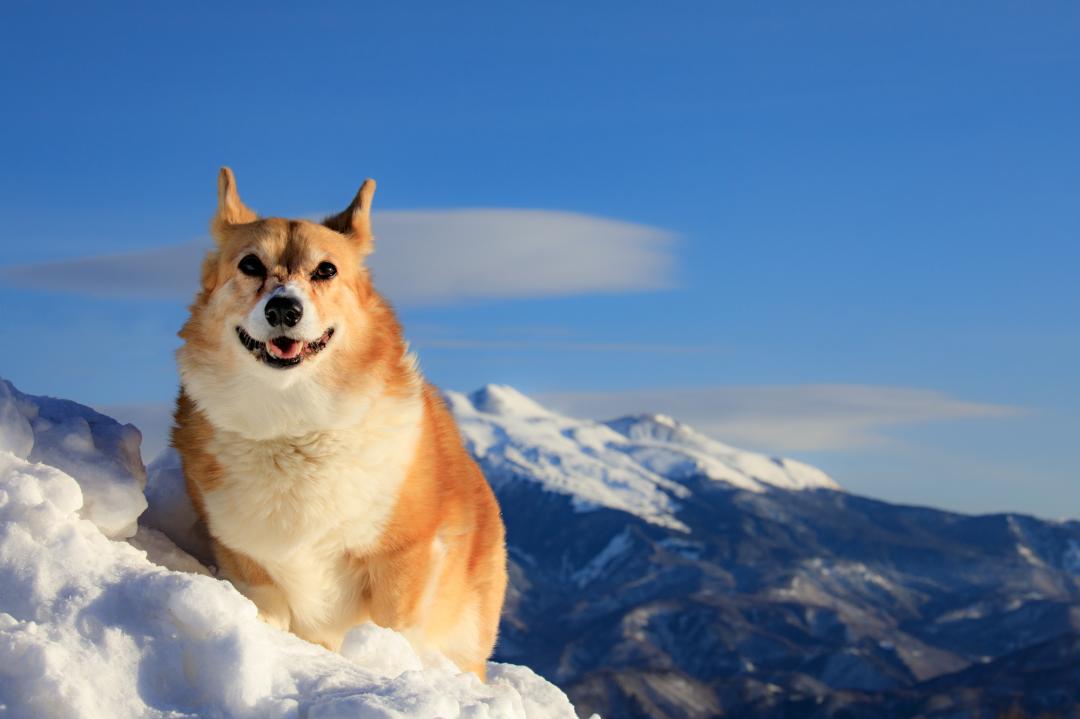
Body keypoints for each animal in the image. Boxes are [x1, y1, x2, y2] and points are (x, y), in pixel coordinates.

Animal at [170, 168, 507, 677]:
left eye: (325, 270)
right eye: (250, 265)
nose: (283, 309)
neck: (294, 426)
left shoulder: (401, 557)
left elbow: (394, 631)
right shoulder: (243, 555)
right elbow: (267, 603)